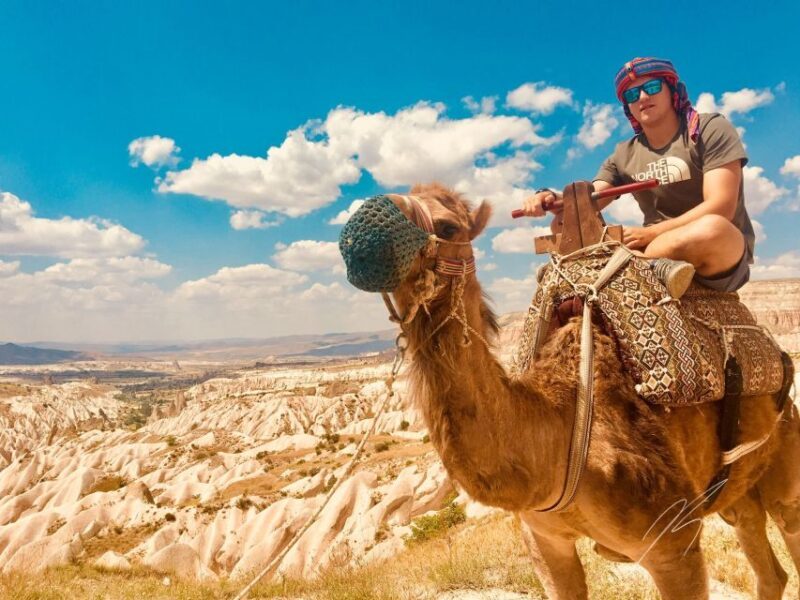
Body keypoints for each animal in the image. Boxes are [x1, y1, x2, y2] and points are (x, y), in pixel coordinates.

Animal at [371, 183, 800, 600]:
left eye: (447, 227)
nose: (374, 219)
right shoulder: (543, 540)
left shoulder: (672, 542)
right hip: (739, 492)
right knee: (767, 564)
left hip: (784, 456)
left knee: (786, 519)